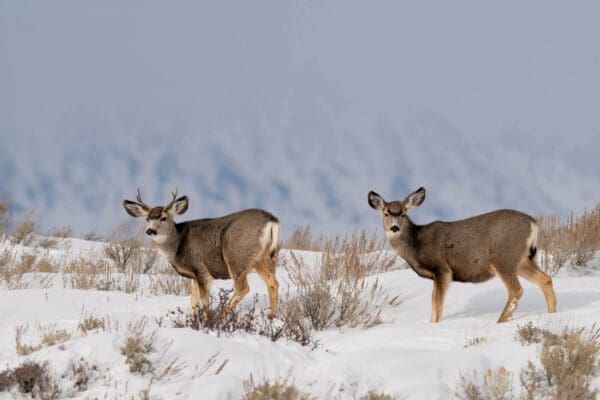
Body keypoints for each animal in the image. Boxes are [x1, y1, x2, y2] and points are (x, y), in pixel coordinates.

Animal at [123, 188, 282, 318]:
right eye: (147, 218)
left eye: (164, 217)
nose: (150, 230)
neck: (176, 245)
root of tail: (272, 220)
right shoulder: (194, 276)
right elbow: (193, 299)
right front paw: (191, 320)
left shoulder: (201, 269)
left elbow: (204, 301)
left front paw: (204, 320)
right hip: (263, 257)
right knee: (273, 283)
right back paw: (272, 317)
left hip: (237, 256)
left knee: (243, 288)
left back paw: (220, 318)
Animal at [366, 187, 556, 322]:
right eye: (386, 213)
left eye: (404, 214)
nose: (394, 228)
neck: (416, 244)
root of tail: (533, 223)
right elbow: (434, 302)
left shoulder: (441, 268)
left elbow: (437, 302)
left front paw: (434, 325)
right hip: (522, 259)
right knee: (545, 279)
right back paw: (552, 313)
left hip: (503, 258)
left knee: (516, 290)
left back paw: (500, 321)